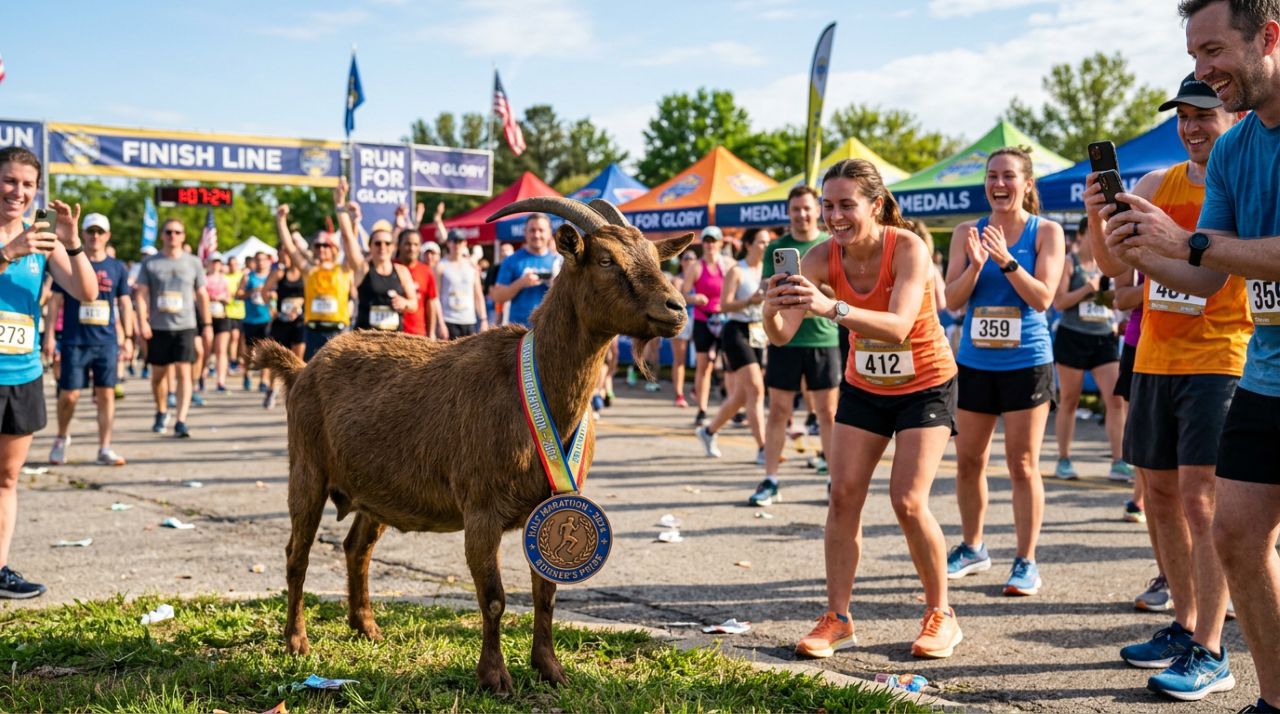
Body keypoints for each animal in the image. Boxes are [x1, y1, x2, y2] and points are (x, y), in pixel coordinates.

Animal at [252, 197, 692, 694]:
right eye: (605, 260)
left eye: (656, 257)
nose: (677, 308)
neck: (535, 388)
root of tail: (301, 369)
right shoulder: (481, 508)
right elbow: (494, 598)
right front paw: (495, 676)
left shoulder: (549, 506)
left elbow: (546, 593)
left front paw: (551, 669)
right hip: (306, 470)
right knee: (297, 553)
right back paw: (296, 641)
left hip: (373, 492)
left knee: (355, 548)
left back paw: (366, 626)